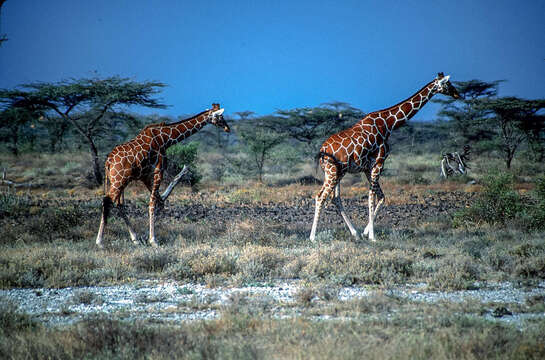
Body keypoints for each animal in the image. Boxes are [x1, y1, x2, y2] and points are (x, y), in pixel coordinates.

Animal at [95, 103, 227, 248]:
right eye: (220, 116)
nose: (227, 128)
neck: (166, 139)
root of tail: (108, 162)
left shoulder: (145, 175)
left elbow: (159, 200)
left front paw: (148, 236)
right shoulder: (159, 169)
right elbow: (153, 202)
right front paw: (153, 240)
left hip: (118, 180)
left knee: (118, 204)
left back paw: (135, 238)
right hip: (119, 180)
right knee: (107, 200)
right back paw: (100, 241)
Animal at [310, 73, 460, 242]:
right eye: (448, 84)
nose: (457, 94)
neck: (388, 123)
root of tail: (322, 150)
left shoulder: (367, 167)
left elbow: (380, 197)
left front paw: (366, 232)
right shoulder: (379, 162)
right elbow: (372, 196)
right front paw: (373, 236)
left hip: (337, 172)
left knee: (335, 198)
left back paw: (355, 233)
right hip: (333, 172)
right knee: (320, 197)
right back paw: (313, 237)